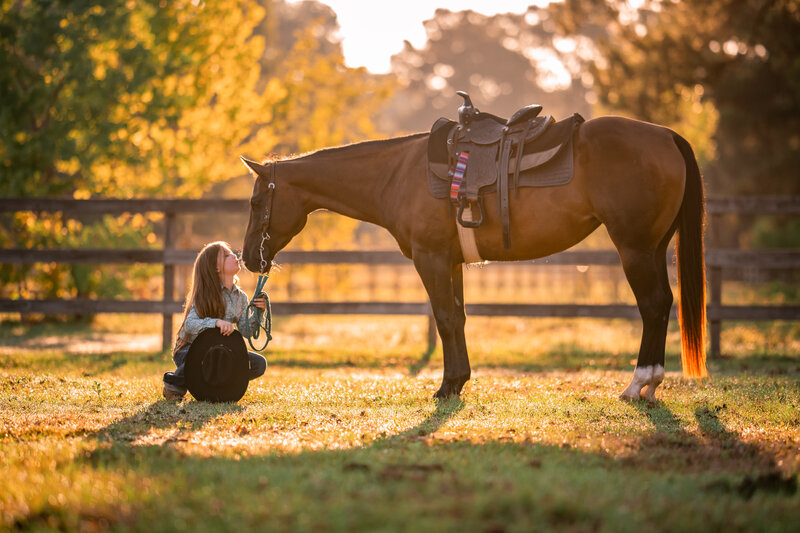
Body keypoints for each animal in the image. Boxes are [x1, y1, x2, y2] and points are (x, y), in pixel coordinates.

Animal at [242, 115, 708, 400]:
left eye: (255, 202)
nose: (248, 259)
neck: (397, 173)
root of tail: (666, 135)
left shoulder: (430, 259)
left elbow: (445, 318)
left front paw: (448, 386)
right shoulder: (451, 262)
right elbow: (459, 317)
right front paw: (460, 380)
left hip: (635, 248)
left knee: (653, 305)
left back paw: (639, 383)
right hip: (653, 248)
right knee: (662, 304)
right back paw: (650, 385)